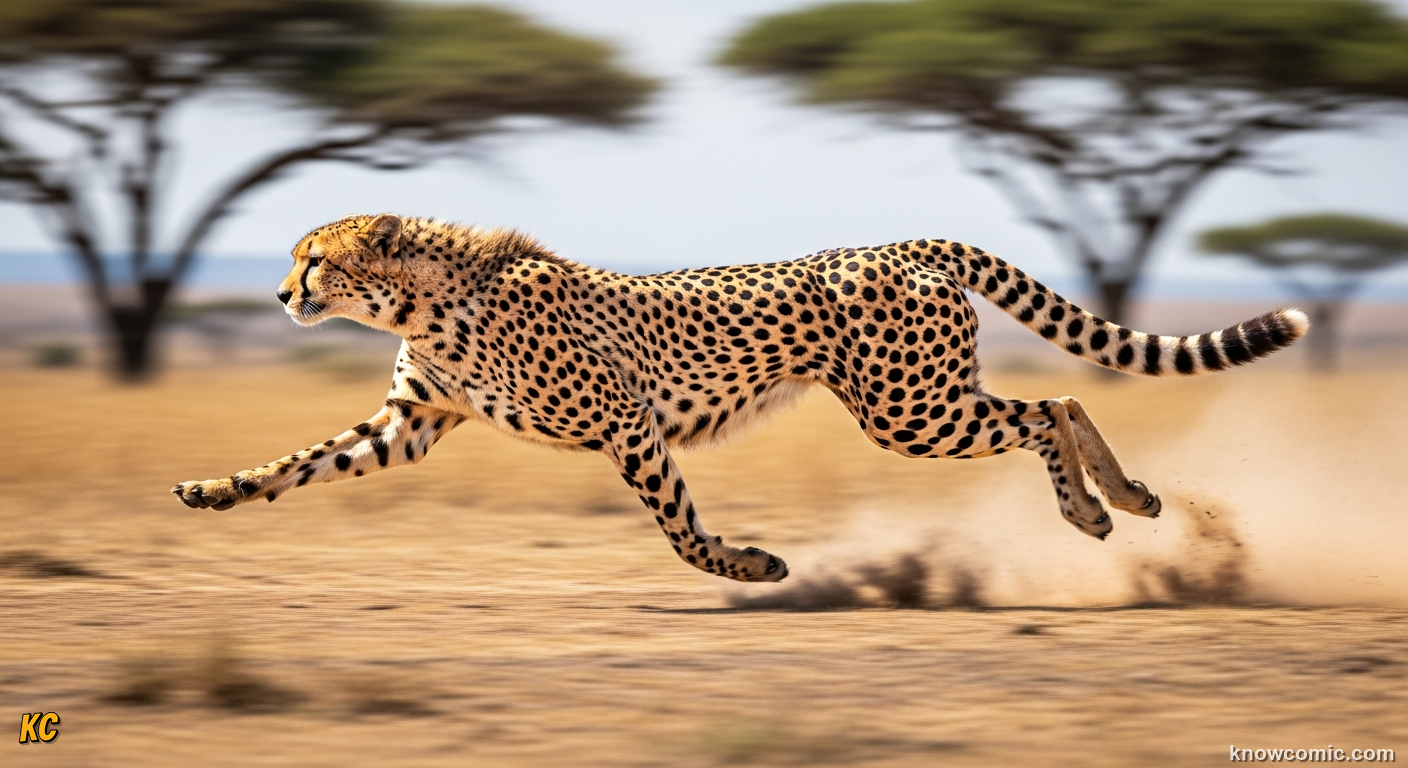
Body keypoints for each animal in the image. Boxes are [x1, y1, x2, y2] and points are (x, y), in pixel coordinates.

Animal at [173, 214, 1308, 583]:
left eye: (314, 259)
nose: (281, 294)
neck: (423, 297)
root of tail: (901, 240)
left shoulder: (624, 422)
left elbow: (676, 528)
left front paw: (749, 567)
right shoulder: (412, 424)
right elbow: (301, 463)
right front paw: (213, 491)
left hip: (908, 412)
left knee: (1049, 410)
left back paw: (1098, 505)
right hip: (923, 399)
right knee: (1056, 402)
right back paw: (1128, 500)